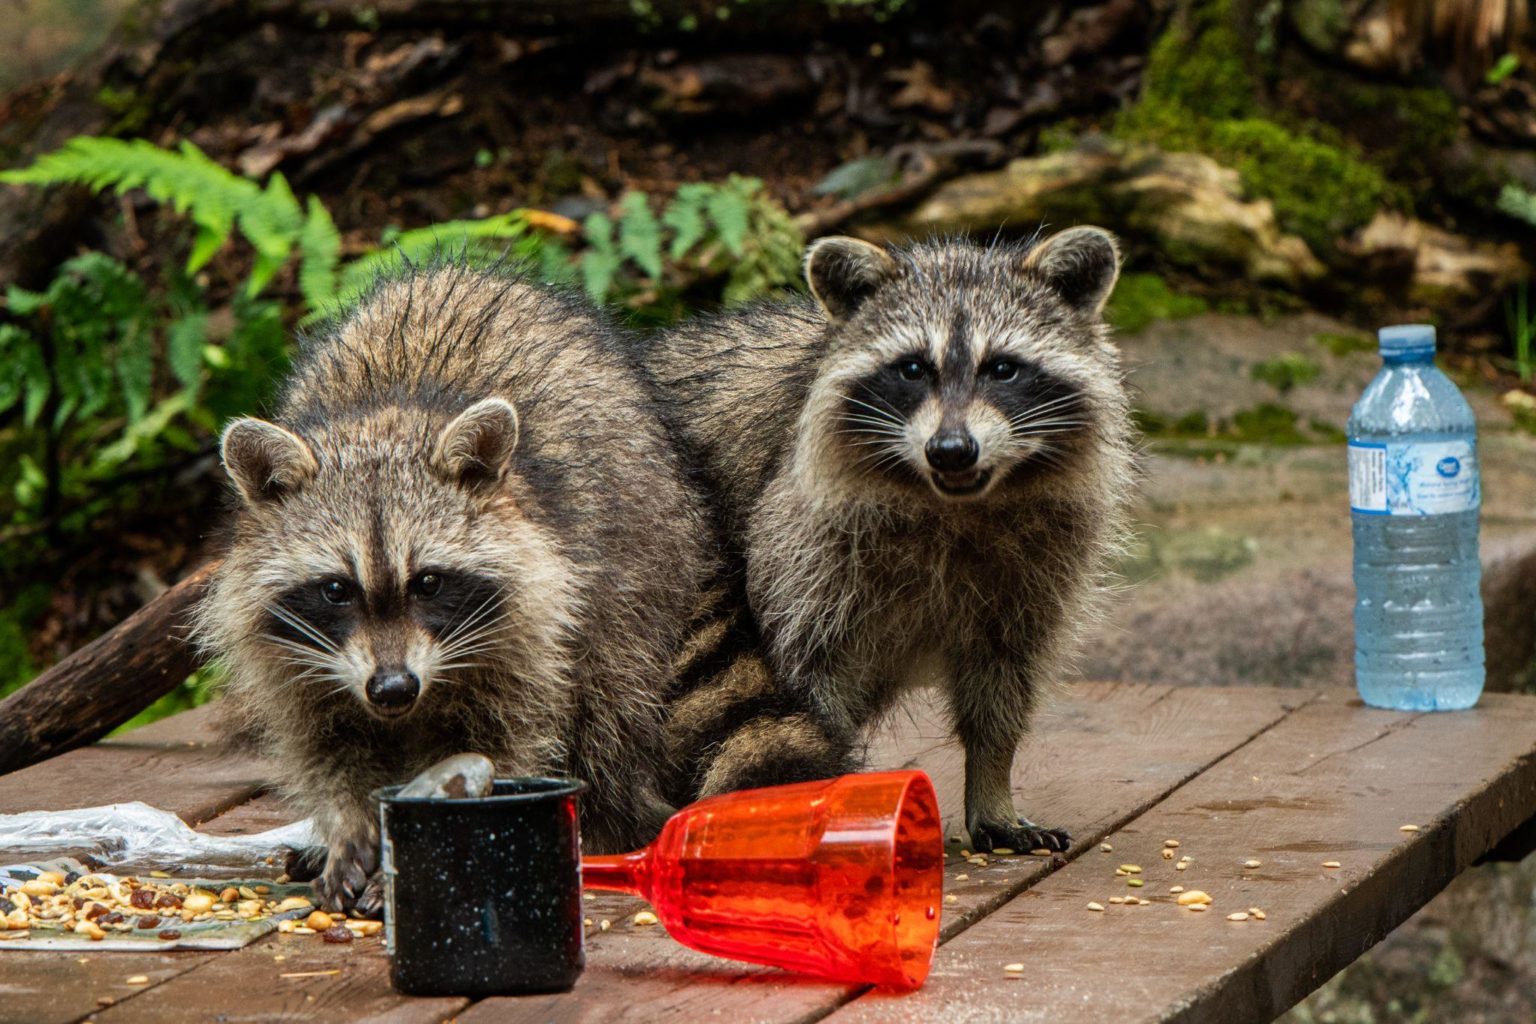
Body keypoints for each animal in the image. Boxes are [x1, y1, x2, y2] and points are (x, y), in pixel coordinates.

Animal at [195, 263, 713, 911]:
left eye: (429, 583)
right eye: (336, 590)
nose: (393, 688)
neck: (383, 418)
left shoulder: (536, 623)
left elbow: (503, 740)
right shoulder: (293, 659)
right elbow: (326, 748)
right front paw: (347, 828)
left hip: (644, 568)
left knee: (609, 704)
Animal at [646, 229, 1136, 852]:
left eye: (1003, 368)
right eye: (913, 369)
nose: (951, 450)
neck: (953, 502)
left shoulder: (1038, 567)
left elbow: (1003, 678)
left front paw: (992, 782)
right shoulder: (801, 545)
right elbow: (806, 678)